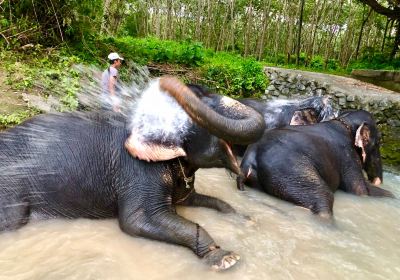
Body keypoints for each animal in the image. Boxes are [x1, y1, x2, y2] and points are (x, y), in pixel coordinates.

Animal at [0, 76, 268, 270]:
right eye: (203, 106)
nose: (164, 82)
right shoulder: (137, 169)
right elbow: (137, 220)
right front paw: (226, 258)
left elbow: (197, 200)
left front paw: (247, 218)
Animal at [236, 110, 396, 219]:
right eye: (378, 142)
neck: (344, 120)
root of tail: (247, 162)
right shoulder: (348, 157)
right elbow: (359, 192)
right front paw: (391, 195)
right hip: (289, 172)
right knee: (323, 197)